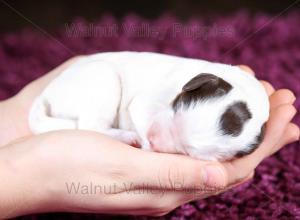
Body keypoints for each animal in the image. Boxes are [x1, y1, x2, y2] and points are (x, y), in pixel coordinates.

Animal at [29, 51, 270, 162]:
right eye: (176, 109)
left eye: (188, 151)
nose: (154, 141)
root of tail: (45, 94)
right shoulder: (144, 101)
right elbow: (140, 108)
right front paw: (145, 141)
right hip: (104, 76)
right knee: (91, 126)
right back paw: (127, 136)